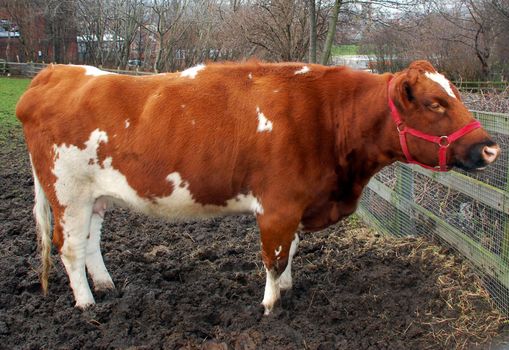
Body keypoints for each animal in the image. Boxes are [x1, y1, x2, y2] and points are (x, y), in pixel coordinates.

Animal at [16, 59, 500, 314]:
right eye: (435, 103)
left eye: (456, 95)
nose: (491, 147)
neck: (326, 116)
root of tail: (55, 72)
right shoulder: (278, 206)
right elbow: (274, 256)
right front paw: (270, 306)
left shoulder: (297, 206)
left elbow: (293, 251)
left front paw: (286, 289)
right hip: (68, 193)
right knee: (69, 247)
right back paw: (86, 305)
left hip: (95, 196)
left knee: (90, 241)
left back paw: (106, 287)